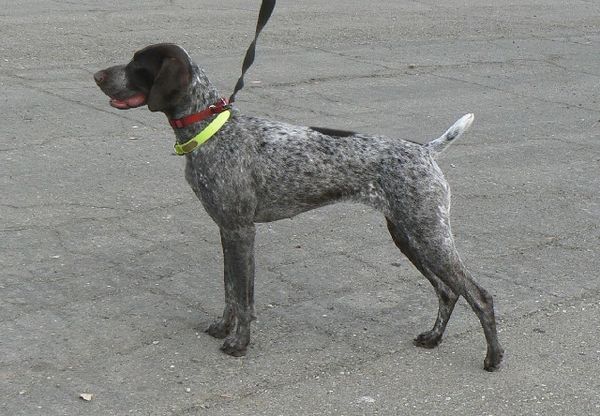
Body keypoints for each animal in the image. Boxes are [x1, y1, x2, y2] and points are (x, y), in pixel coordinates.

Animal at [94, 43, 503, 371]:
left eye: (137, 64)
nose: (97, 75)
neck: (212, 130)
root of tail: (425, 150)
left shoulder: (241, 231)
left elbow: (243, 297)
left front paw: (239, 344)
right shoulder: (227, 230)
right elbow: (230, 290)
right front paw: (223, 328)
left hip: (427, 234)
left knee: (479, 295)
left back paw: (494, 358)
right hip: (408, 235)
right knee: (448, 291)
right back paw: (433, 339)